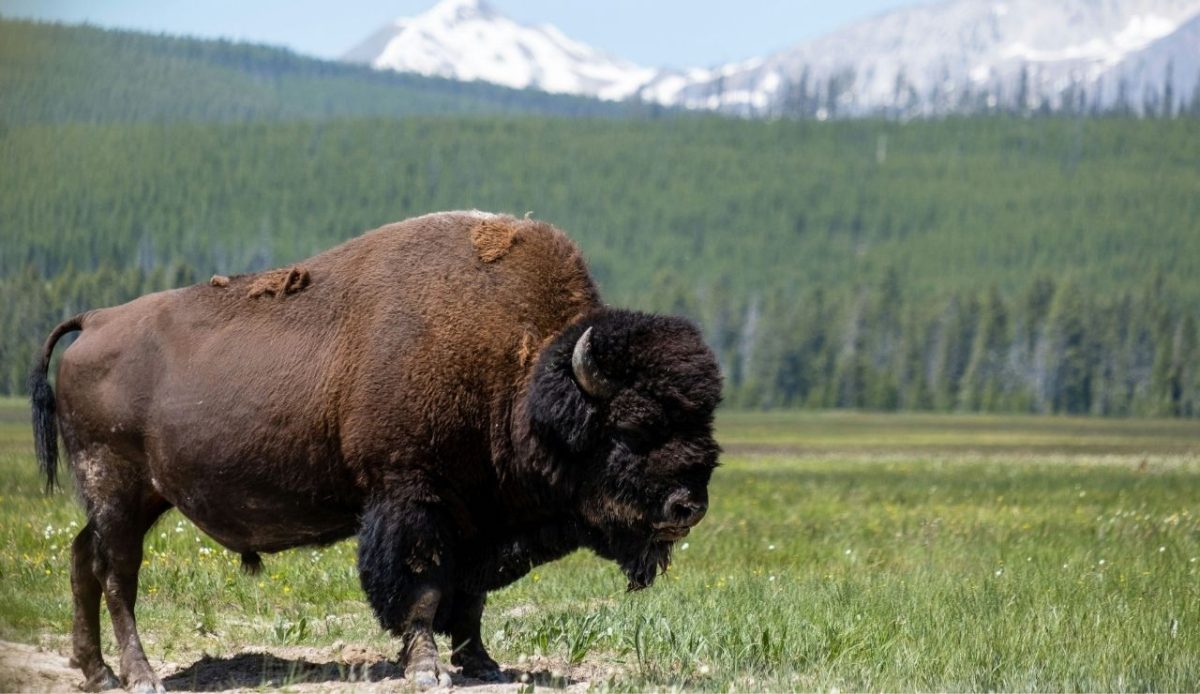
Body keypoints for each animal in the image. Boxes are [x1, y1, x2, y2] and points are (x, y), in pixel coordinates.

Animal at [30, 211, 722, 691]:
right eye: (630, 428)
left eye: (705, 420)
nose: (688, 506)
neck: (522, 377)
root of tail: (94, 321)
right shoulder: (411, 498)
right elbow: (423, 590)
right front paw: (426, 669)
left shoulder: (479, 519)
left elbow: (470, 598)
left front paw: (483, 663)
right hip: (117, 487)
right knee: (117, 576)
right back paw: (140, 675)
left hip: (135, 498)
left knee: (82, 558)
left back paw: (95, 672)